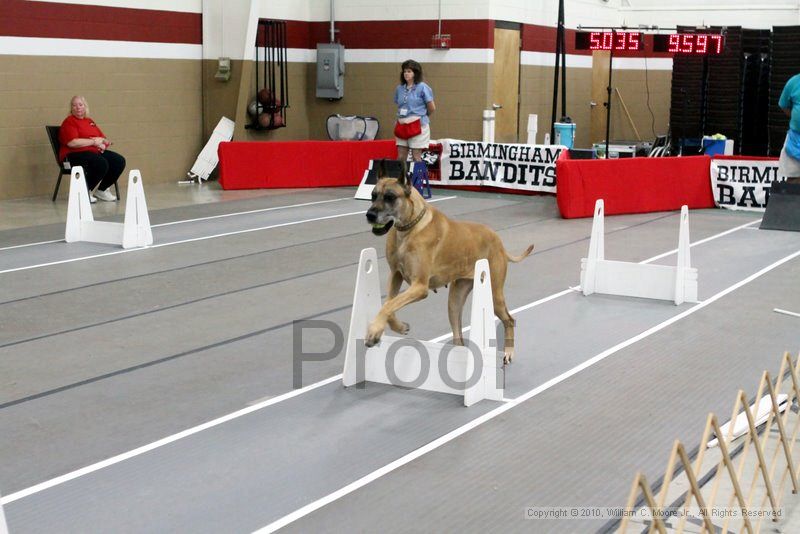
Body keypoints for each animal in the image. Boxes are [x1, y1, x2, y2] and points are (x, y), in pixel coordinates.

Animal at [366, 161, 536, 366]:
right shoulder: (395, 275)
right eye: (373, 195)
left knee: (509, 320)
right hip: (455, 300)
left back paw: (508, 352)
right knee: (458, 334)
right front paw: (399, 327)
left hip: (495, 294)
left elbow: (388, 305)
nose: (369, 215)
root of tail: (498, 241)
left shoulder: (419, 287)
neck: (409, 227)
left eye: (390, 197)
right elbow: (389, 304)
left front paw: (374, 330)